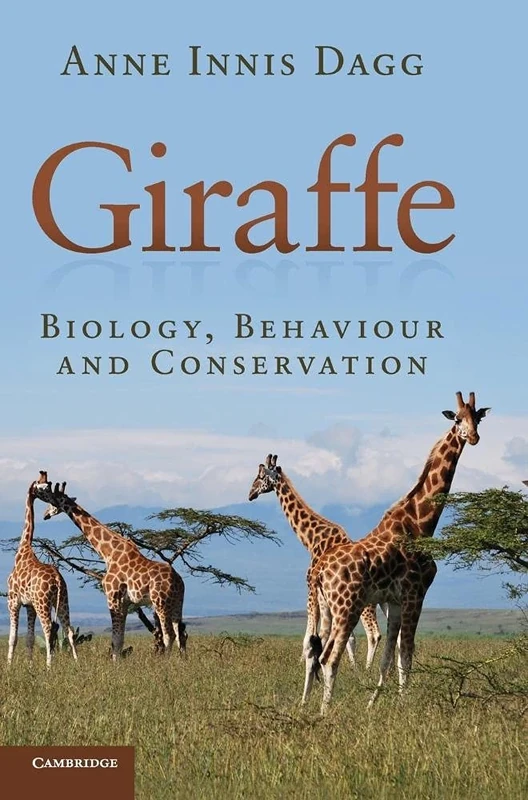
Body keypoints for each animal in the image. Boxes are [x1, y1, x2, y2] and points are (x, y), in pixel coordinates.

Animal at [7, 476, 78, 667]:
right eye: (43, 487)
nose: (47, 512)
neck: (22, 550)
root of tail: (58, 579)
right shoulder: (29, 605)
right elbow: (30, 638)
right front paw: (30, 665)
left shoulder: (13, 601)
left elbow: (13, 637)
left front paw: (8, 666)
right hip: (63, 601)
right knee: (68, 630)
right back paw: (77, 663)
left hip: (42, 602)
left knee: (48, 630)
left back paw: (49, 666)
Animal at [33, 472, 187, 660]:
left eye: (51, 501)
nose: (45, 515)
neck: (108, 553)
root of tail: (178, 581)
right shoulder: (125, 602)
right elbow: (119, 639)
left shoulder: (112, 596)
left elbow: (116, 639)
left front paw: (115, 663)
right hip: (177, 603)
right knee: (181, 633)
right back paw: (182, 661)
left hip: (160, 602)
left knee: (168, 634)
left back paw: (165, 662)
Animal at [248, 454, 383, 694]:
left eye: (261, 476)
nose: (250, 493)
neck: (312, 540)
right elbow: (333, 637)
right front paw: (347, 668)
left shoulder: (311, 587)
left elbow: (310, 635)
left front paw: (302, 664)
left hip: (363, 605)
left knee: (373, 633)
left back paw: (367, 671)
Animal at [303, 391, 490, 713]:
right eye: (456, 418)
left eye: (477, 417)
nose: (474, 437)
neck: (420, 523)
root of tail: (319, 571)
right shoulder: (415, 592)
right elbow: (407, 651)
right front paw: (405, 704)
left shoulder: (393, 600)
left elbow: (389, 656)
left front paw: (373, 704)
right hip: (347, 606)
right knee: (329, 657)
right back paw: (325, 713)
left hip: (326, 608)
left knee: (315, 653)